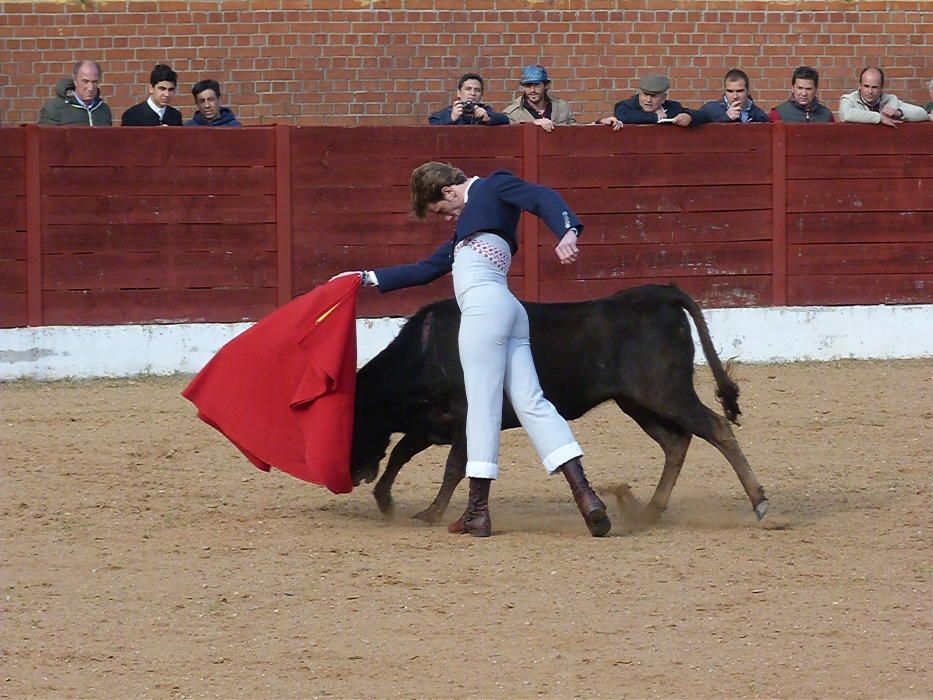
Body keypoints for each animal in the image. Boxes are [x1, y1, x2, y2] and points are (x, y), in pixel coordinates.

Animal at [346, 284, 768, 524]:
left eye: (353, 420)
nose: (351, 475)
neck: (426, 350)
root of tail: (659, 294)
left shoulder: (465, 417)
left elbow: (453, 467)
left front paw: (431, 513)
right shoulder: (433, 422)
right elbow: (401, 452)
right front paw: (385, 500)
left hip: (666, 393)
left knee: (715, 428)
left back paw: (760, 503)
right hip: (638, 402)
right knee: (676, 442)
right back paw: (649, 510)